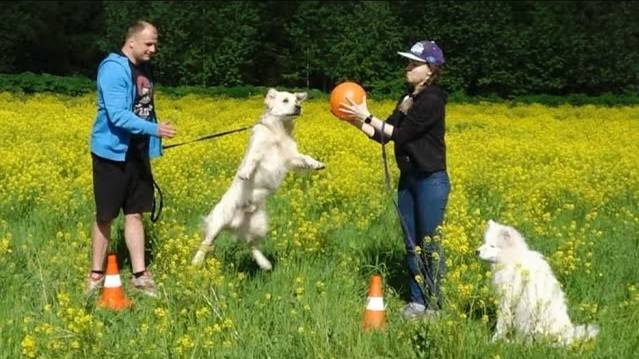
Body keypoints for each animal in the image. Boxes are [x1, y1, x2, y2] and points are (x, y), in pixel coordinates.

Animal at [191, 88, 324, 272]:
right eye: (285, 100)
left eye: (297, 100)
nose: (298, 107)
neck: (278, 131)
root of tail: (235, 224)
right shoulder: (258, 149)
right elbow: (252, 160)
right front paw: (245, 173)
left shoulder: (291, 157)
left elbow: (305, 157)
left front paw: (317, 164)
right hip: (218, 223)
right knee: (206, 243)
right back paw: (195, 263)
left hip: (259, 224)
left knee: (252, 245)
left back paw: (265, 264)